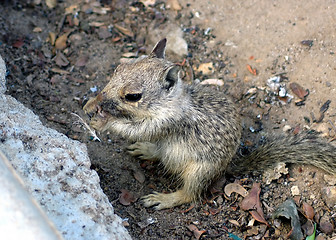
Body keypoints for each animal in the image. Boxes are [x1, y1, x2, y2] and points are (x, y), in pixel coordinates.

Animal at [82, 38, 336, 209]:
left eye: (133, 96)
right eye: (119, 68)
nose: (100, 101)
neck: (172, 101)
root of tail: (228, 165)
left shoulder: (168, 122)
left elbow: (140, 129)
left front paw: (104, 122)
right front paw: (91, 105)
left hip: (200, 171)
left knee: (190, 194)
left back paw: (165, 198)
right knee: (160, 153)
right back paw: (146, 150)